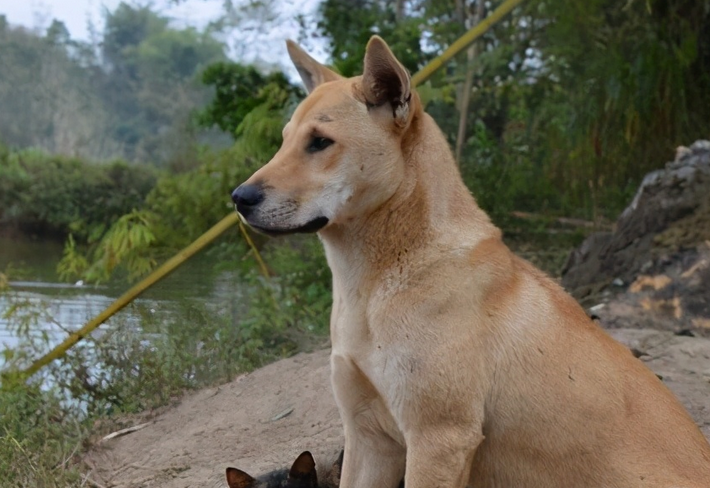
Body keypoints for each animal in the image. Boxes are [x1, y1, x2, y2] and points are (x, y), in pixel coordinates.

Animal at [234, 36, 710, 486]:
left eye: (320, 142)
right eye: (284, 141)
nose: (239, 198)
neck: (375, 286)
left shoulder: (438, 439)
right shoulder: (368, 441)